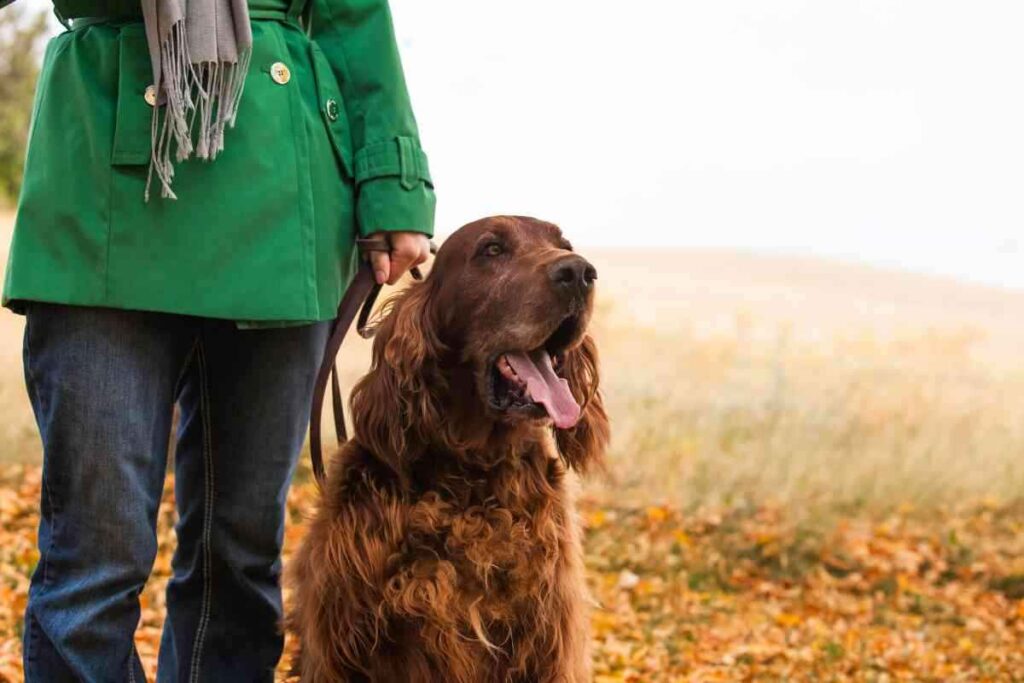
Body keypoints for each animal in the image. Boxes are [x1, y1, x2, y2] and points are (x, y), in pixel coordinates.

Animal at [286, 216, 606, 679]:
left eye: (564, 245)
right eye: (492, 250)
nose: (580, 272)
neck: (473, 470)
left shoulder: (544, 638)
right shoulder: (345, 643)